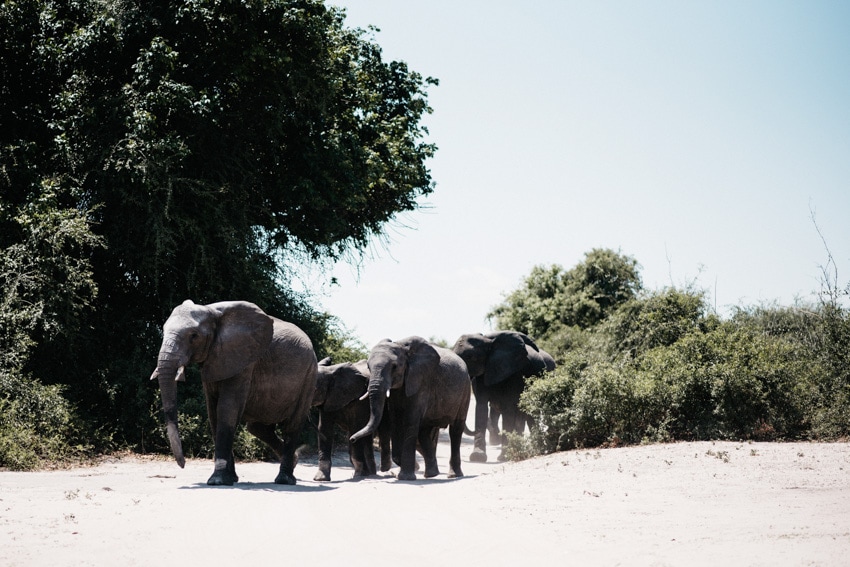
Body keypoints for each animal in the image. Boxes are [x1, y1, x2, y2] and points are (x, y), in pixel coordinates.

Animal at [147, 300, 316, 486]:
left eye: (194, 336)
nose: (183, 465)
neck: (211, 310)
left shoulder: (244, 360)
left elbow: (226, 409)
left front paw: (217, 481)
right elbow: (213, 413)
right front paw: (230, 478)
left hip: (309, 375)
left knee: (293, 425)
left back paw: (284, 479)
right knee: (257, 428)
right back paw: (294, 461)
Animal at [350, 340, 470, 482]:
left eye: (394, 367)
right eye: (368, 367)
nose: (352, 439)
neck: (402, 347)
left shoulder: (420, 381)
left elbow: (410, 420)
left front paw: (406, 478)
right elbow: (395, 421)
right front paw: (407, 470)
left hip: (465, 389)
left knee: (456, 430)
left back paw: (454, 475)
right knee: (424, 431)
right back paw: (432, 474)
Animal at [454, 330, 552, 464]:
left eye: (472, 358)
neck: (489, 342)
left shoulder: (514, 373)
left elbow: (508, 409)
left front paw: (504, 457)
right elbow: (481, 407)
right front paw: (477, 457)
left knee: (529, 415)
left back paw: (536, 449)